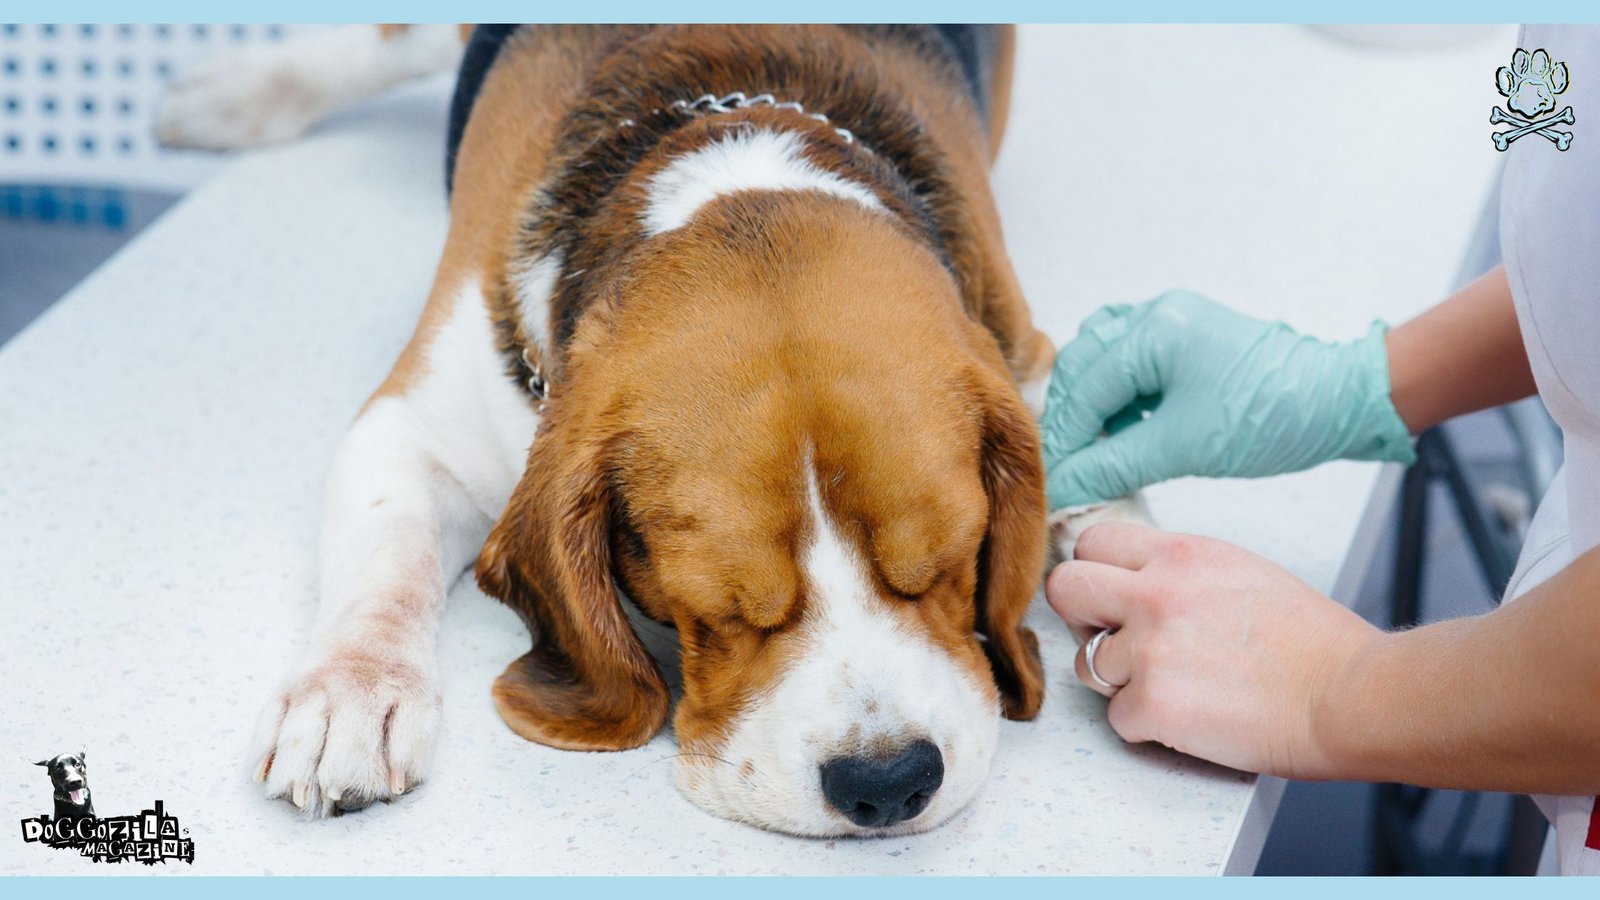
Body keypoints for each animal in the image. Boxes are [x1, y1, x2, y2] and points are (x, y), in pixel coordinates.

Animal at [172, 22, 1100, 832]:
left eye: (951, 564)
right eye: (718, 611)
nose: (889, 782)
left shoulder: (1025, 356)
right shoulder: (411, 423)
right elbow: (387, 557)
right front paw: (351, 693)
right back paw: (237, 93)